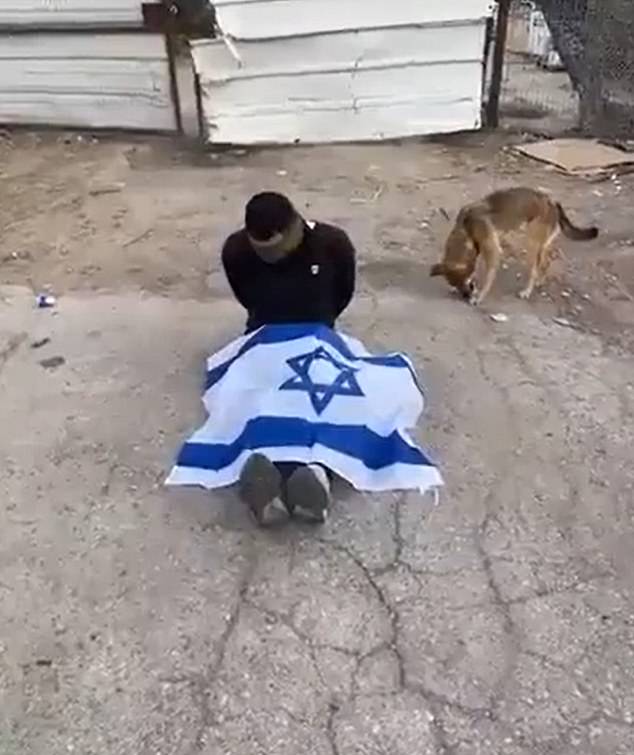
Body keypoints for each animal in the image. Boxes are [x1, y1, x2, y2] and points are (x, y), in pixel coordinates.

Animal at [430, 188, 596, 306]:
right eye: (457, 284)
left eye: (466, 283)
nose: (465, 296)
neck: (465, 229)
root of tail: (552, 202)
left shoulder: (492, 250)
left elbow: (489, 276)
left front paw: (480, 297)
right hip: (542, 244)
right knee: (546, 262)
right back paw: (540, 281)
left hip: (531, 244)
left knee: (534, 269)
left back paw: (527, 291)